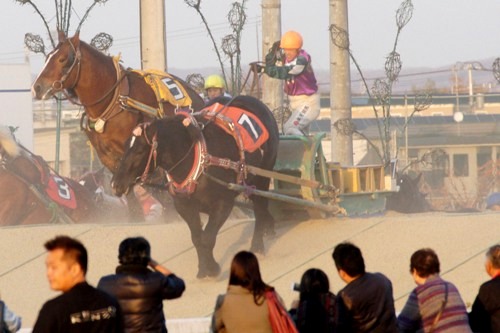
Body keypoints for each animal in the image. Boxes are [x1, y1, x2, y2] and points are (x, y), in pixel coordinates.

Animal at [111, 96, 280, 278]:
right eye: (125, 145)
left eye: (140, 150)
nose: (115, 184)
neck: (195, 158)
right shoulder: (184, 205)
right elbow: (197, 238)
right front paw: (203, 267)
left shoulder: (223, 203)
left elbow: (207, 237)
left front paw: (212, 268)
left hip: (263, 176)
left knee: (260, 207)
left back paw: (258, 245)